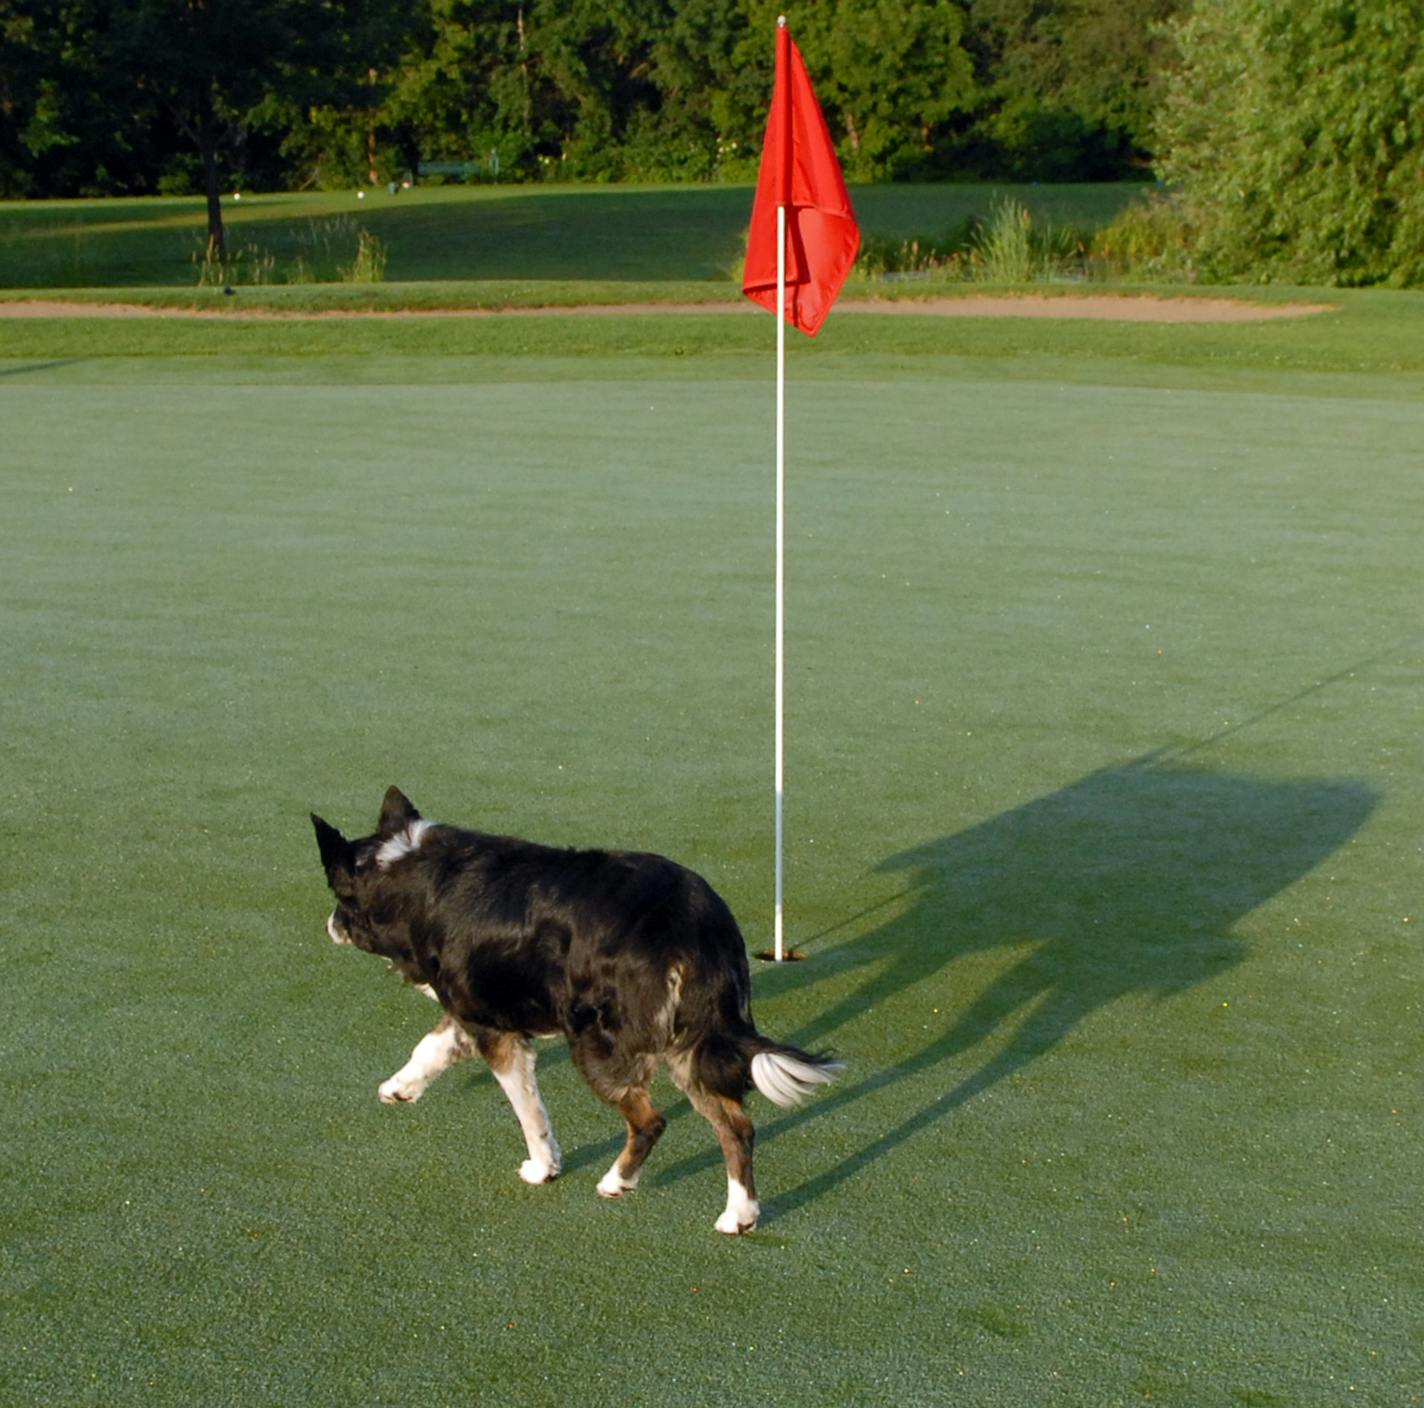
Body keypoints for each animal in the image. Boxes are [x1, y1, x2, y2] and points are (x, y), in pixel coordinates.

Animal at [311, 785, 837, 1235]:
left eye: (338, 896)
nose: (328, 924)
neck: (410, 878)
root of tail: (692, 922)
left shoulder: (495, 1030)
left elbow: (528, 1110)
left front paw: (542, 1167)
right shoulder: (476, 1012)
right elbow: (430, 1047)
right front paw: (399, 1089)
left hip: (597, 1040)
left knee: (651, 1121)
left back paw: (617, 1182)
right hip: (689, 1043)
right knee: (737, 1126)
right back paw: (739, 1215)